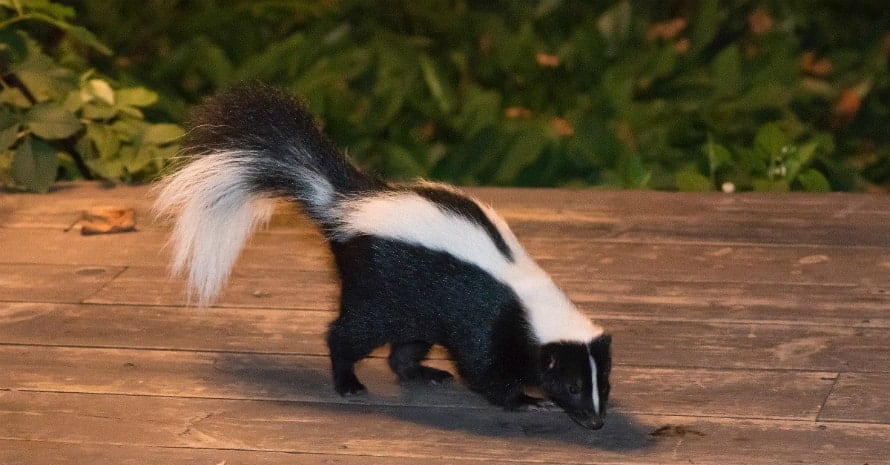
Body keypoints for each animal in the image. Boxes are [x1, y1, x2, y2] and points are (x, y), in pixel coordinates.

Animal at [154, 82, 612, 428]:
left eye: (603, 384)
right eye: (572, 385)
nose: (595, 421)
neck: (528, 297)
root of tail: (346, 205)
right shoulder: (487, 322)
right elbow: (484, 369)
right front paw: (527, 400)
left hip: (413, 306)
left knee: (405, 348)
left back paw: (424, 373)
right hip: (377, 289)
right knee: (347, 333)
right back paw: (348, 383)